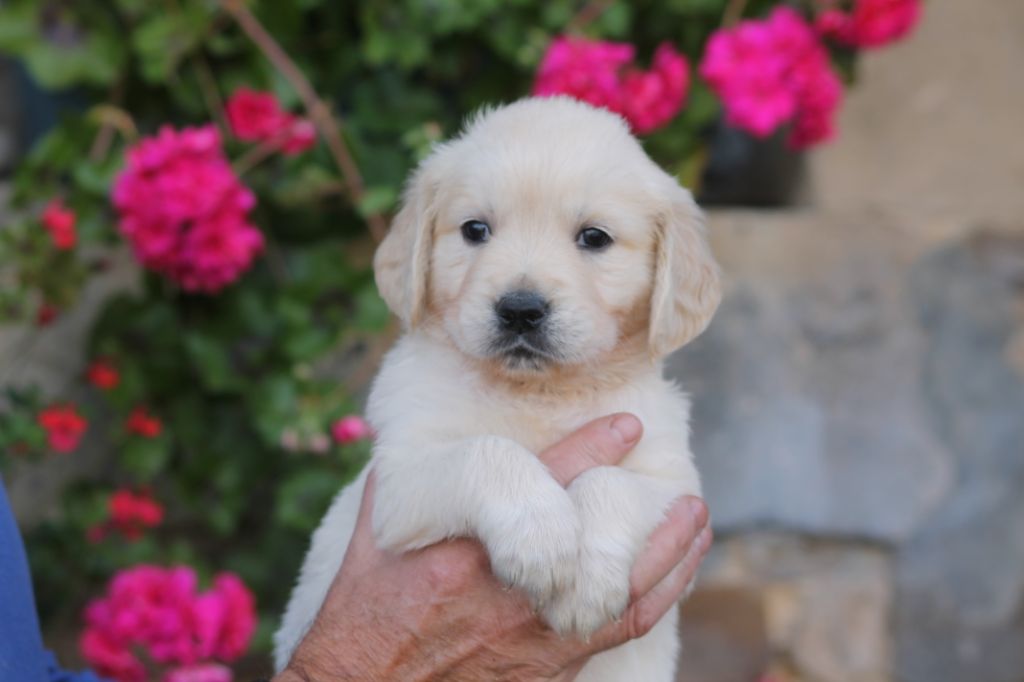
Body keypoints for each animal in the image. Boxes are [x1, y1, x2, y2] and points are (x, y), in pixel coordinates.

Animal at [272, 96, 720, 679]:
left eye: (594, 237)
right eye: (475, 230)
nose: (520, 310)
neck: (536, 392)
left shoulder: (678, 494)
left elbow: (610, 481)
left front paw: (585, 583)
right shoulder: (398, 479)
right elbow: (487, 451)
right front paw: (541, 537)